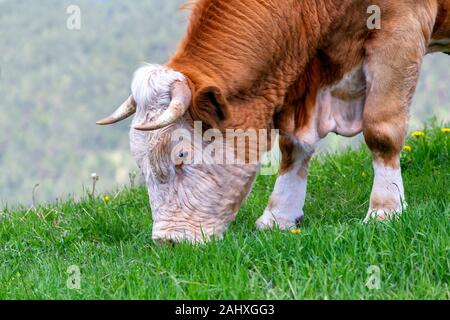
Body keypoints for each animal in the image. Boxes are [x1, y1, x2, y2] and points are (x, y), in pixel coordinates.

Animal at [97, 0, 450, 242]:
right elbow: (294, 145)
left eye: (181, 154)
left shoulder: (400, 27)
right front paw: (279, 215)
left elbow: (380, 130)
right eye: (139, 161)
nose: (168, 241)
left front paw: (385, 210)